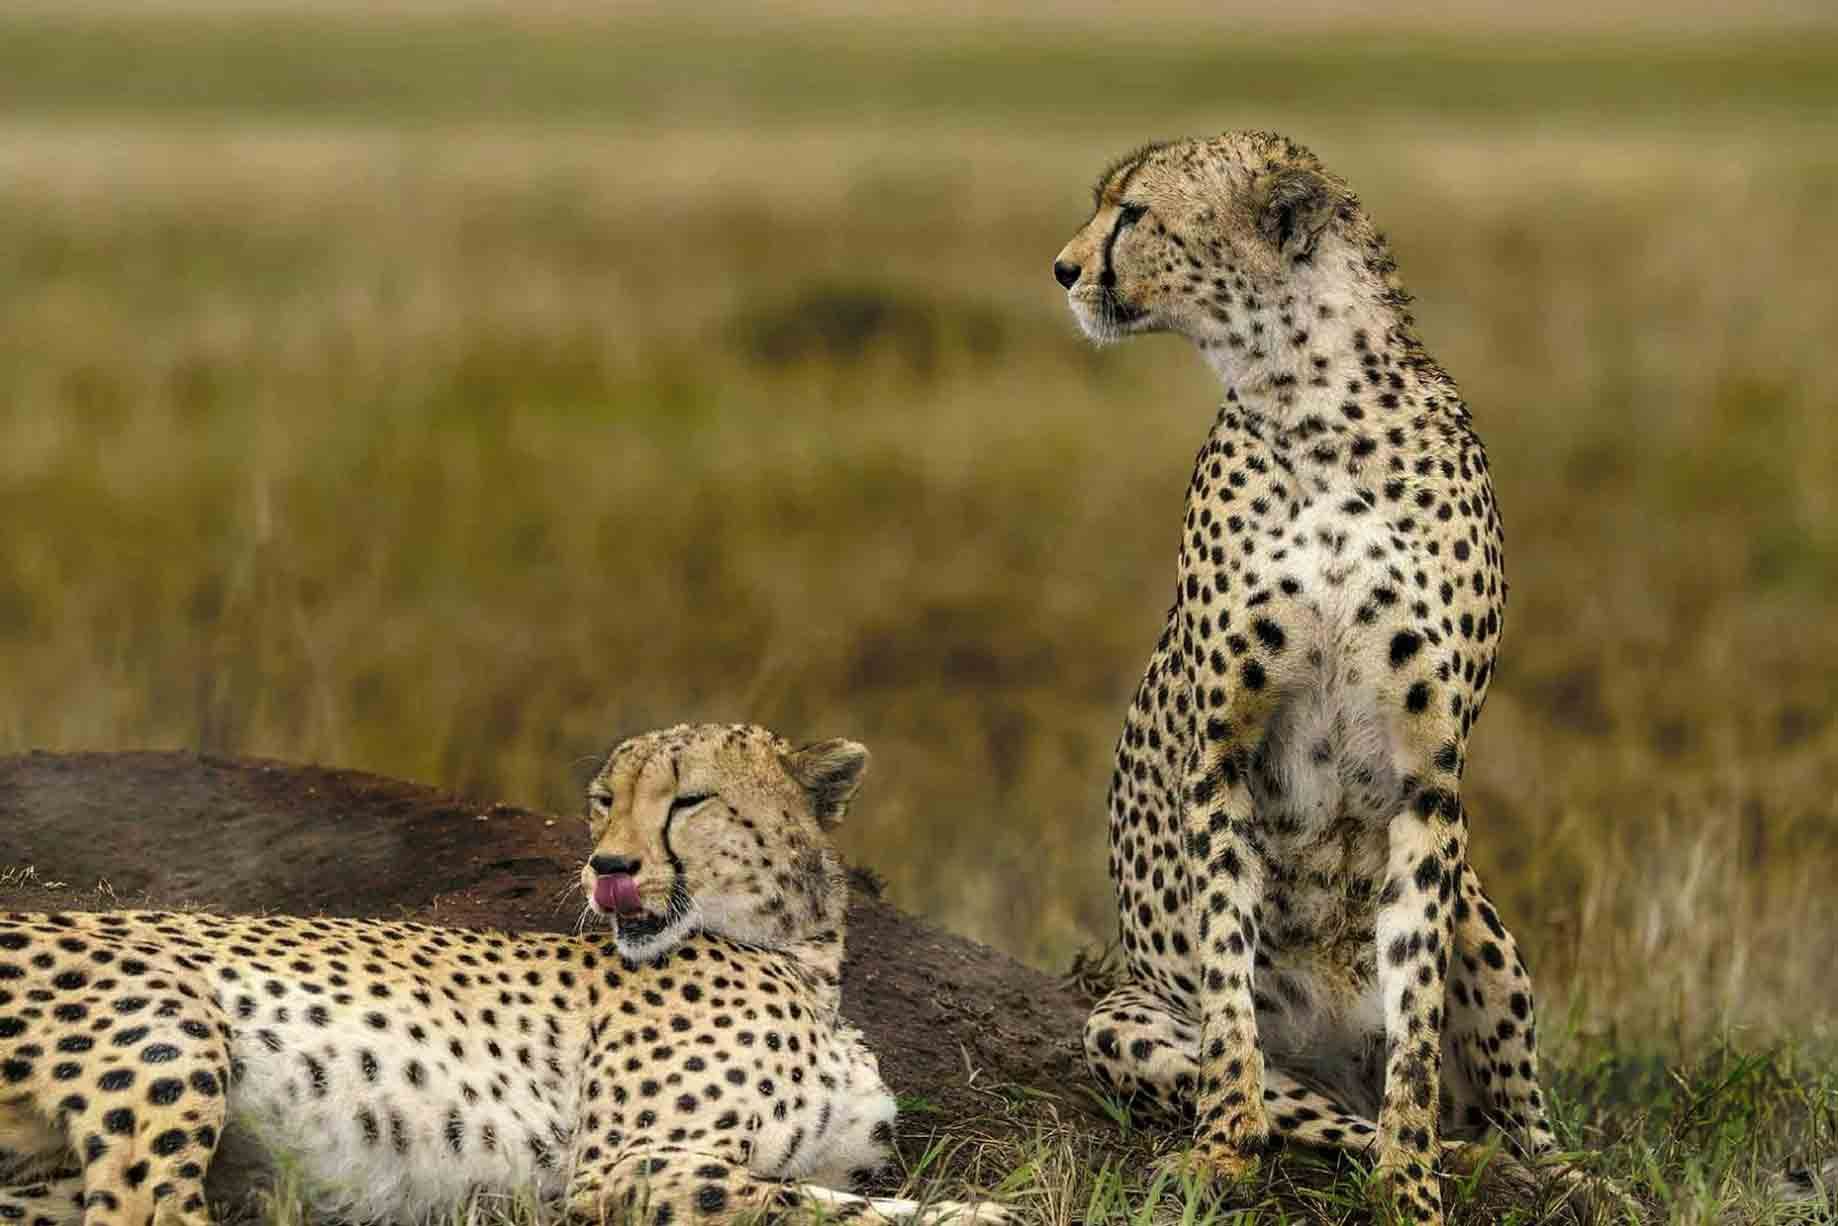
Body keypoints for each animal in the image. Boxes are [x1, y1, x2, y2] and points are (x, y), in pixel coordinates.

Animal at [0, 723, 1002, 1226]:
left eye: (689, 800)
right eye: (604, 799)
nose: (608, 866)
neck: (805, 959)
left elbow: (831, 1192)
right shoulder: (623, 1167)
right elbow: (811, 1205)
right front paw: (981, 1219)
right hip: (166, 1018)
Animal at [1051, 131, 1557, 1224]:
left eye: (1134, 212)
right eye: (1104, 205)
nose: (1063, 270)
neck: (1312, 403)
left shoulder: (1427, 772)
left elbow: (1415, 1014)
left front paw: (1410, 1185)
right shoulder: (1224, 752)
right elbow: (1229, 984)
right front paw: (1219, 1154)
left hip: (1483, 921)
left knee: (1517, 1121)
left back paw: (1532, 1170)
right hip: (1122, 1016)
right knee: (1321, 1110)